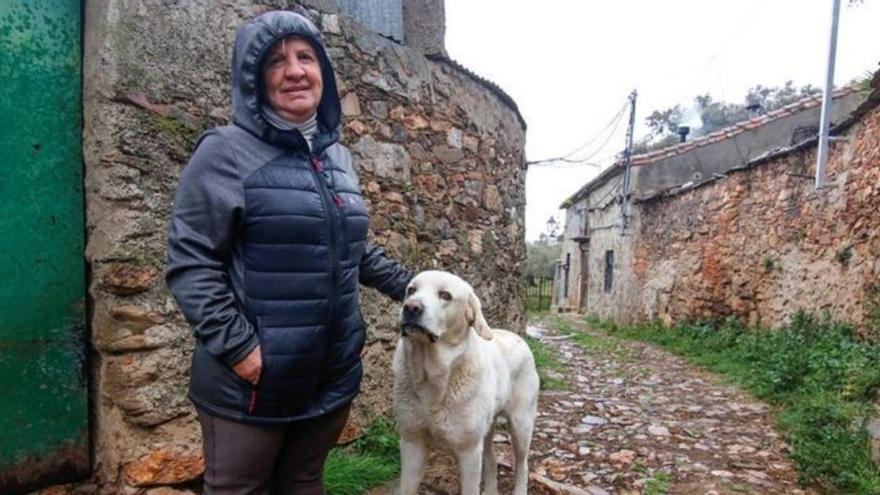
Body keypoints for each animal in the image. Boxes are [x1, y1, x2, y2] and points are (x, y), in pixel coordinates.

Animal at [394, 272, 544, 495]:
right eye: (411, 290)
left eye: (445, 295)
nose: (411, 307)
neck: (434, 378)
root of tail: (517, 337)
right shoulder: (413, 443)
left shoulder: (469, 451)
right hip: (488, 430)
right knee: (491, 459)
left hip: (521, 425)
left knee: (522, 464)